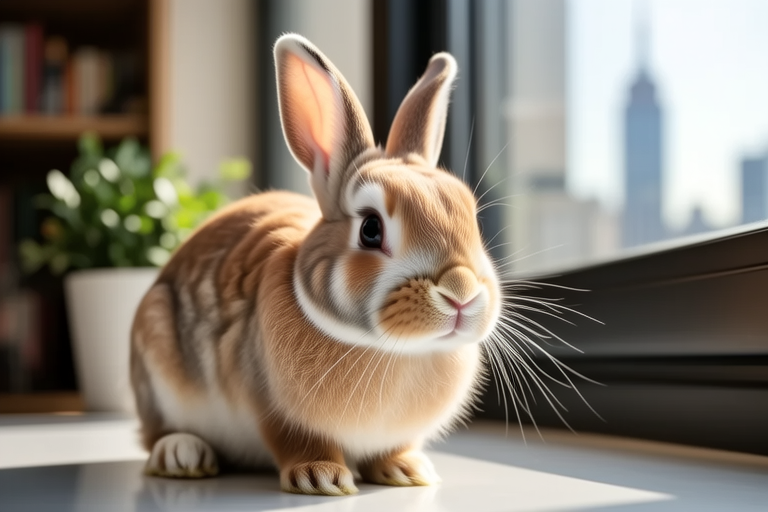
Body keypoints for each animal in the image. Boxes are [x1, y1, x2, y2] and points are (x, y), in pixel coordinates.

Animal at [130, 33, 502, 496]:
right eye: (371, 229)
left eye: (472, 218)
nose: (461, 293)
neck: (393, 349)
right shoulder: (273, 408)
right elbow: (297, 441)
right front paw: (320, 477)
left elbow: (391, 450)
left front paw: (408, 471)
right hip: (154, 358)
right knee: (155, 435)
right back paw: (182, 454)